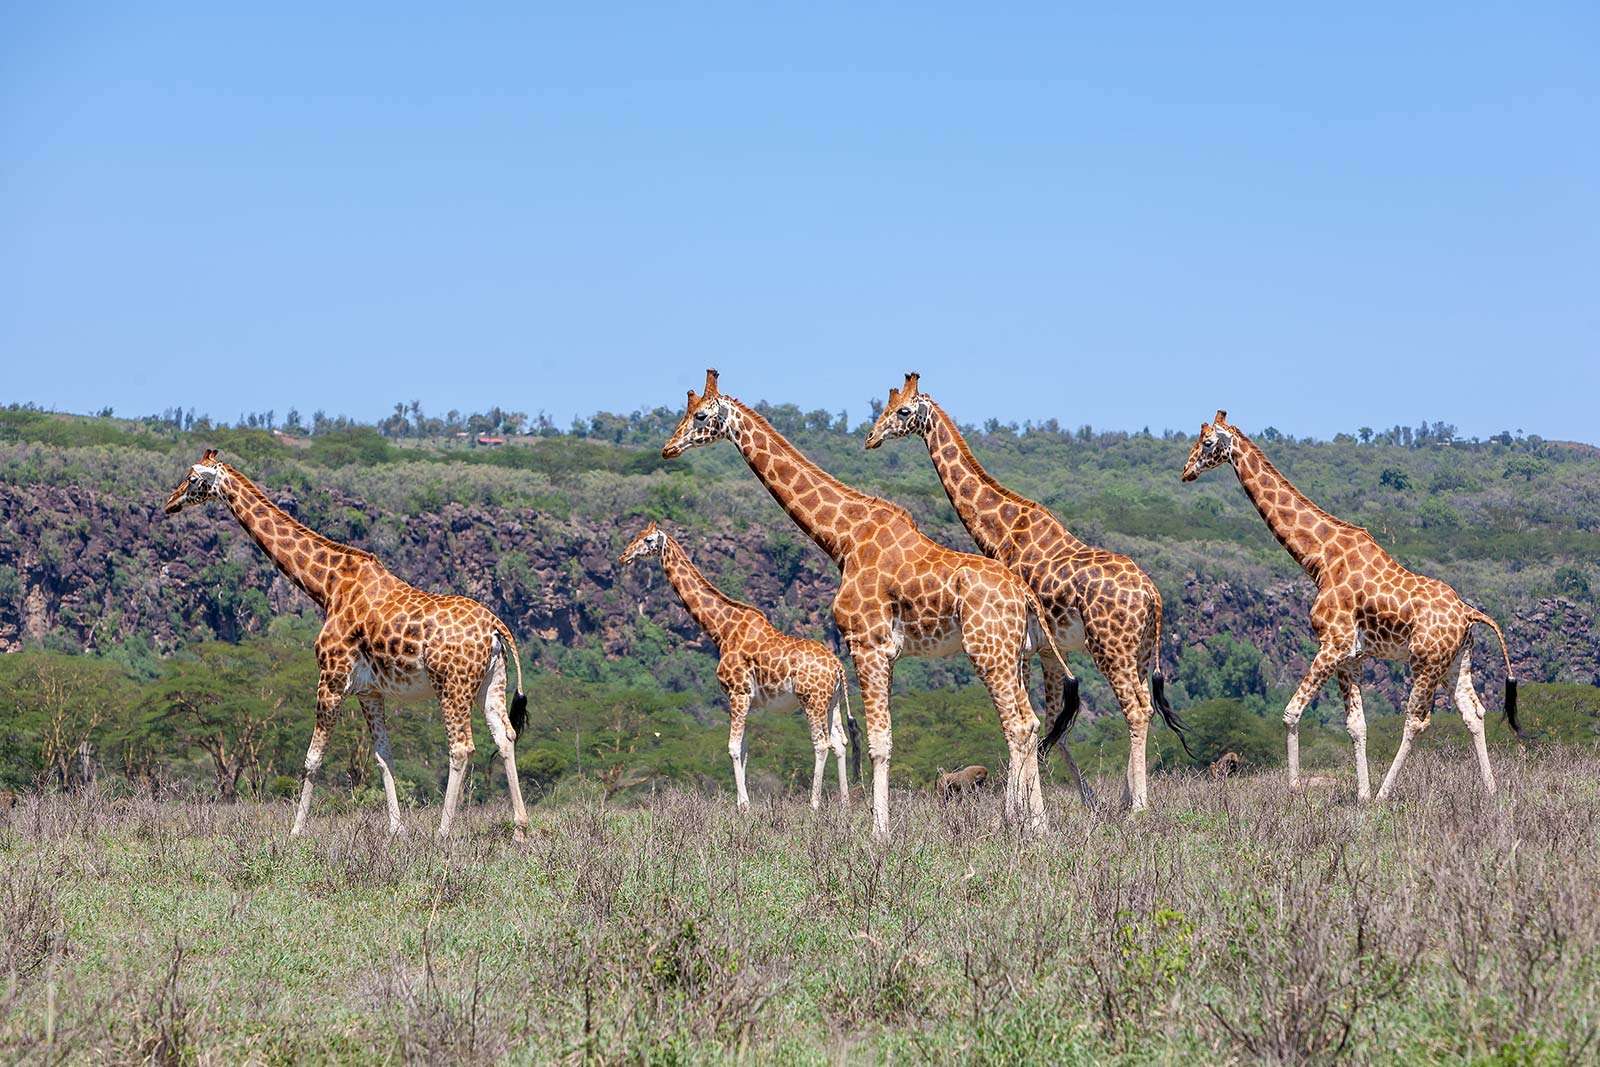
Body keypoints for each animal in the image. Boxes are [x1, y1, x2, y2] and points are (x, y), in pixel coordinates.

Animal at [163, 450, 531, 839]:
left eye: (191, 479)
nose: (169, 502)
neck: (326, 585)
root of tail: (495, 627)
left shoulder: (331, 676)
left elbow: (313, 759)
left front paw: (295, 832)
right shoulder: (370, 691)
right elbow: (383, 756)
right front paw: (396, 830)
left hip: (452, 684)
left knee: (461, 747)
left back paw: (443, 833)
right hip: (491, 681)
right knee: (505, 736)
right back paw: (520, 829)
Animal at [618, 522, 860, 810]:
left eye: (648, 540)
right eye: (636, 535)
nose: (623, 556)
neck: (721, 630)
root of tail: (837, 666)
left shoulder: (738, 693)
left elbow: (733, 748)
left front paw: (743, 806)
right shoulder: (749, 701)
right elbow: (744, 749)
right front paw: (744, 803)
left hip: (811, 699)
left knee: (821, 744)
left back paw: (813, 804)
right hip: (832, 701)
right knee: (840, 742)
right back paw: (845, 804)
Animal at [660, 370, 1073, 837]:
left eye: (701, 415)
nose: (668, 448)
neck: (842, 538)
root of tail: (1025, 595)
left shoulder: (866, 643)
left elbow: (878, 743)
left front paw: (879, 832)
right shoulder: (885, 651)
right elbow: (884, 738)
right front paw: (879, 824)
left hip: (988, 651)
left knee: (1018, 725)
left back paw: (1020, 824)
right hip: (1014, 653)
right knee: (1031, 722)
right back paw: (1037, 825)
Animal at [866, 373, 1192, 811]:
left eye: (902, 411)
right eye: (882, 408)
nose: (871, 438)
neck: (1003, 530)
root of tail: (1152, 594)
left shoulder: (1020, 645)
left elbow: (1033, 721)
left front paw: (1022, 805)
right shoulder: (1045, 649)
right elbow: (1053, 722)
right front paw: (1085, 803)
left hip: (1110, 646)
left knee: (1137, 709)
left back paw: (1137, 806)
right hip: (1139, 650)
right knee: (1143, 706)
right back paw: (1126, 799)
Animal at [1180, 412, 1522, 800]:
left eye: (1208, 442)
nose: (1186, 471)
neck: (1318, 557)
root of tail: (1468, 613)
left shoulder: (1333, 644)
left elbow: (1291, 712)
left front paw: (1296, 790)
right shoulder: (1351, 657)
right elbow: (1356, 725)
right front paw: (1360, 794)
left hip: (1425, 661)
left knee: (1417, 720)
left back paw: (1386, 793)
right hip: (1455, 663)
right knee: (1473, 712)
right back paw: (1491, 790)